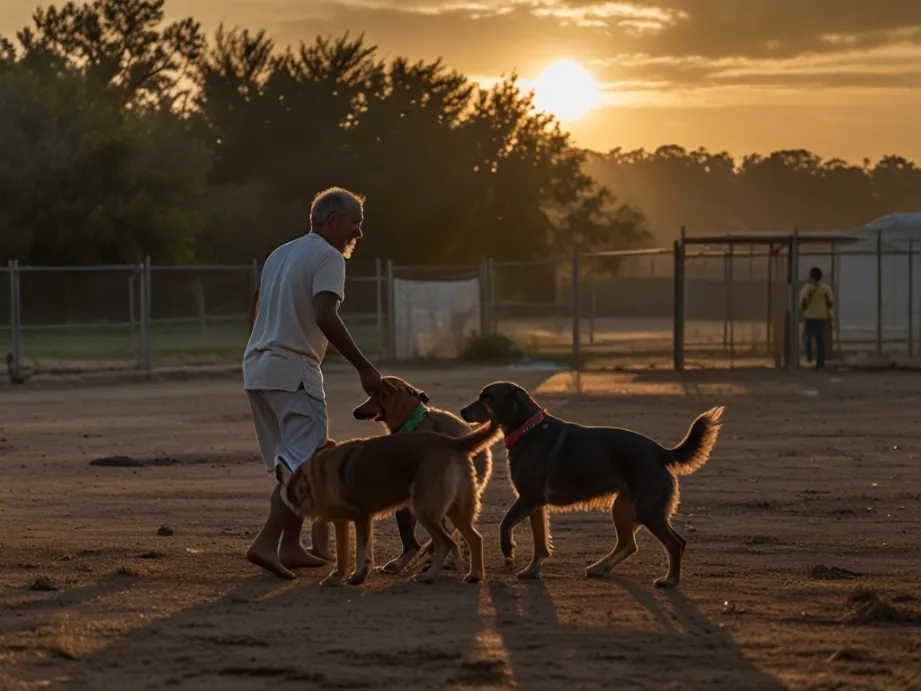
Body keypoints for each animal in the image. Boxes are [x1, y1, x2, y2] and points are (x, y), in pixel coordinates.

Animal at [274, 418, 500, 588]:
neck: (313, 478)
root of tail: (451, 443)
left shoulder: (360, 518)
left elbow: (360, 553)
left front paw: (356, 577)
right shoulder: (343, 521)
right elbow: (343, 553)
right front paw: (339, 577)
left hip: (425, 511)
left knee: (446, 542)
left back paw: (428, 577)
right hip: (457, 511)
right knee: (475, 538)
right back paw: (475, 575)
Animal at [460, 382, 724, 588]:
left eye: (487, 397)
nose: (462, 411)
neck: (529, 429)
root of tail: (660, 452)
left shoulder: (528, 498)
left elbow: (504, 524)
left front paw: (508, 548)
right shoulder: (535, 504)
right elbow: (540, 541)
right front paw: (532, 570)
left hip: (648, 511)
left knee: (674, 543)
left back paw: (670, 580)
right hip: (623, 508)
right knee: (629, 543)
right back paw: (600, 567)